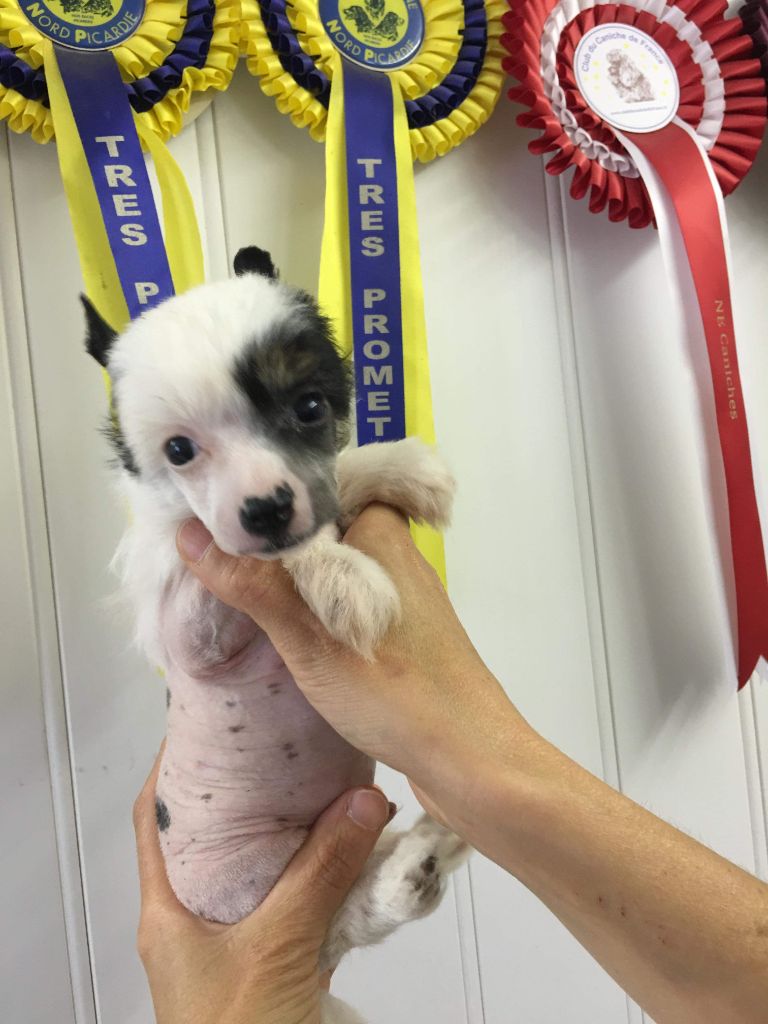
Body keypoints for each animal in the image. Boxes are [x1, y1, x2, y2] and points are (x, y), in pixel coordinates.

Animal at [83, 246, 466, 1023]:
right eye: (178, 450)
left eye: (309, 407)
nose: (264, 508)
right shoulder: (191, 625)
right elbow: (241, 552)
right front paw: (343, 574)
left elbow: (336, 478)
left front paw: (405, 469)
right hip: (263, 882)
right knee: (345, 915)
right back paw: (414, 871)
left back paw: (429, 852)